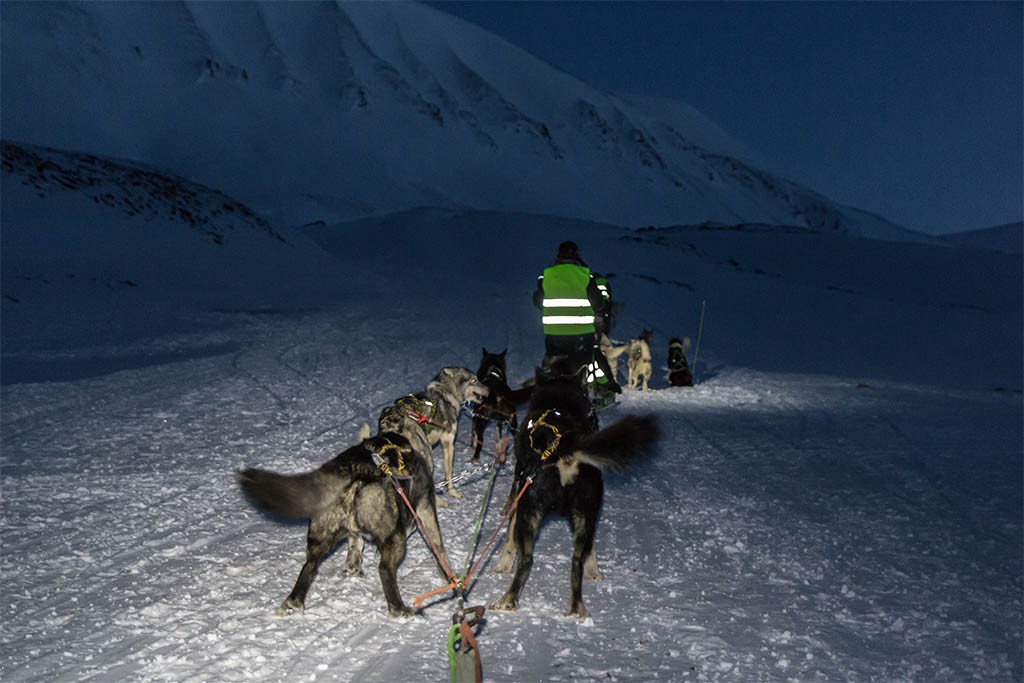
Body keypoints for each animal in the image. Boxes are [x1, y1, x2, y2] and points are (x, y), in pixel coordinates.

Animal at [239, 432, 452, 618]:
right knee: (385, 570)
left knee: (309, 566)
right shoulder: (425, 508)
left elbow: (354, 546)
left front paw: (352, 569)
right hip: (395, 538)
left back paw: (292, 604)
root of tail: (355, 469)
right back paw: (399, 609)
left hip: (321, 537)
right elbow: (438, 547)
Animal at [491, 368, 659, 618]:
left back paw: (507, 600)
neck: (559, 402)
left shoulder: (519, 493)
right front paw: (594, 571)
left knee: (527, 559)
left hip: (529, 511)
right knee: (576, 560)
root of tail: (564, 450)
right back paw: (576, 607)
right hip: (584, 515)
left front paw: (502, 565)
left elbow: (509, 537)